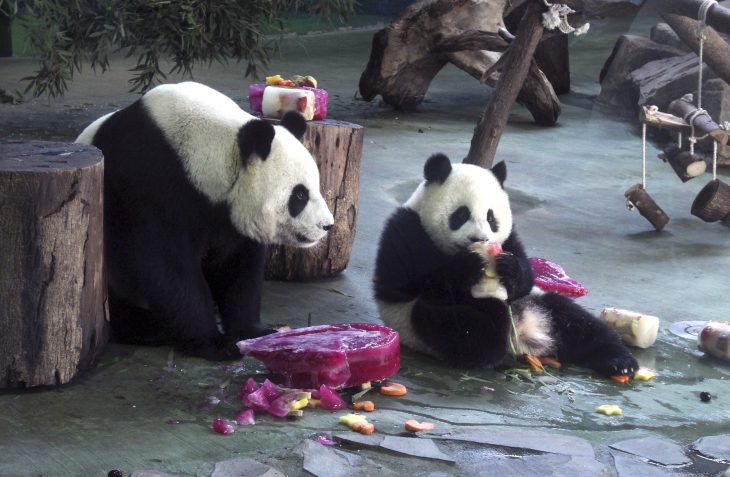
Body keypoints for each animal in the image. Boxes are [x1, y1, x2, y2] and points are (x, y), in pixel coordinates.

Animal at [76, 82, 332, 358]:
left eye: (315, 186)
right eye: (300, 195)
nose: (327, 225)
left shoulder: (229, 216)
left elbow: (238, 266)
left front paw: (252, 331)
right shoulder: (152, 185)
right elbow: (169, 267)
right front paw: (215, 344)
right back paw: (149, 329)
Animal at [372, 152, 636, 376]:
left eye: (491, 218)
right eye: (461, 214)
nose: (479, 238)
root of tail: (524, 333)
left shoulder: (510, 238)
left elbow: (525, 276)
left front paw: (508, 267)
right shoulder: (405, 228)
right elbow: (400, 284)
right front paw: (466, 267)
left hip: (536, 301)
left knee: (577, 321)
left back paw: (620, 362)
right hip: (415, 324)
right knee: (467, 329)